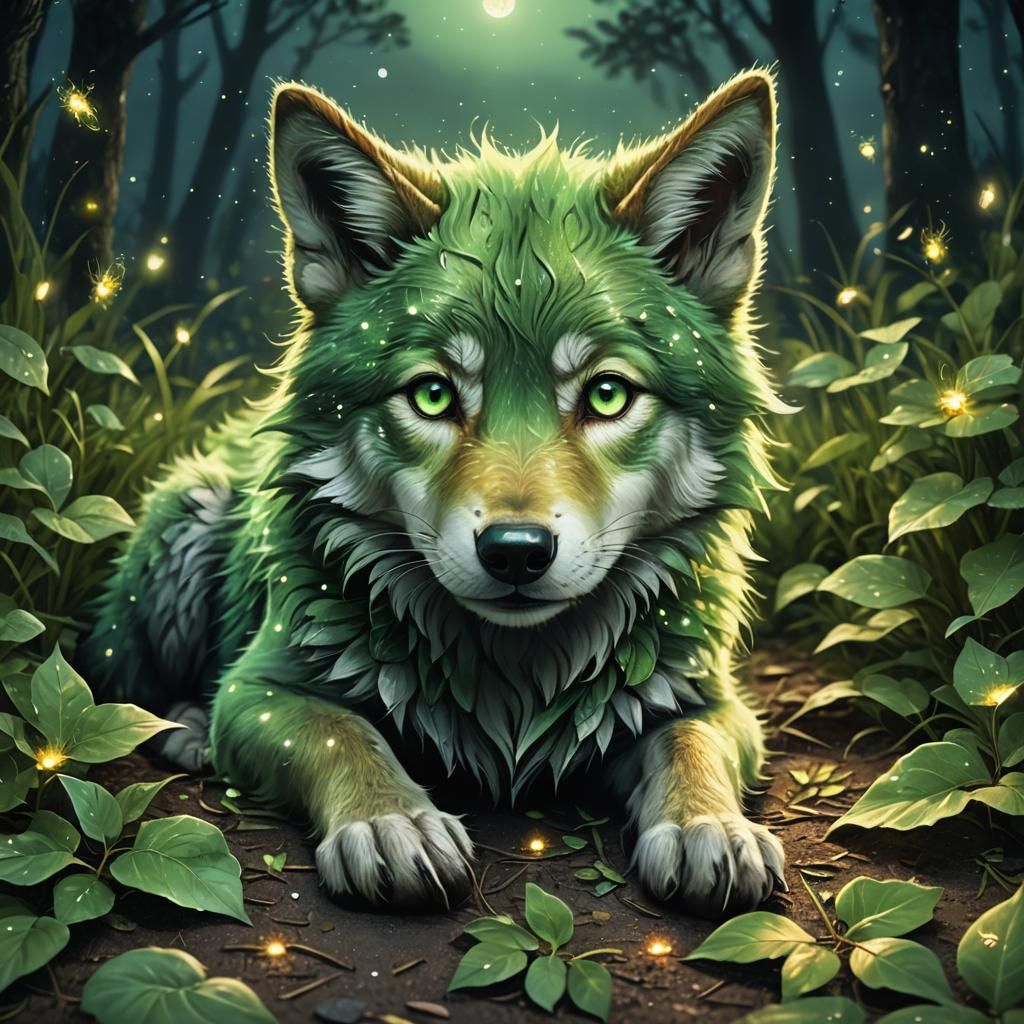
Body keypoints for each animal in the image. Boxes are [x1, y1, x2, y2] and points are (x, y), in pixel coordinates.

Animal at [83, 69, 787, 917]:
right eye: (433, 395)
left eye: (608, 394)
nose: (515, 552)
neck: (515, 678)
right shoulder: (259, 689)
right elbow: (343, 733)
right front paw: (391, 821)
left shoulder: (714, 702)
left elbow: (690, 743)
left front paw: (708, 825)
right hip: (188, 529)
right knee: (132, 688)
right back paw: (185, 729)